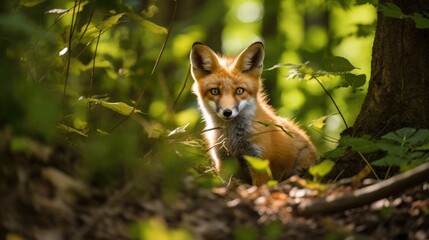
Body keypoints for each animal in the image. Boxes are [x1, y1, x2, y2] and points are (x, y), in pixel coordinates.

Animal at [189, 41, 316, 186]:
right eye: (215, 91)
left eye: (239, 91)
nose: (227, 112)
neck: (232, 139)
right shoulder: (223, 161)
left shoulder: (258, 160)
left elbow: (259, 186)